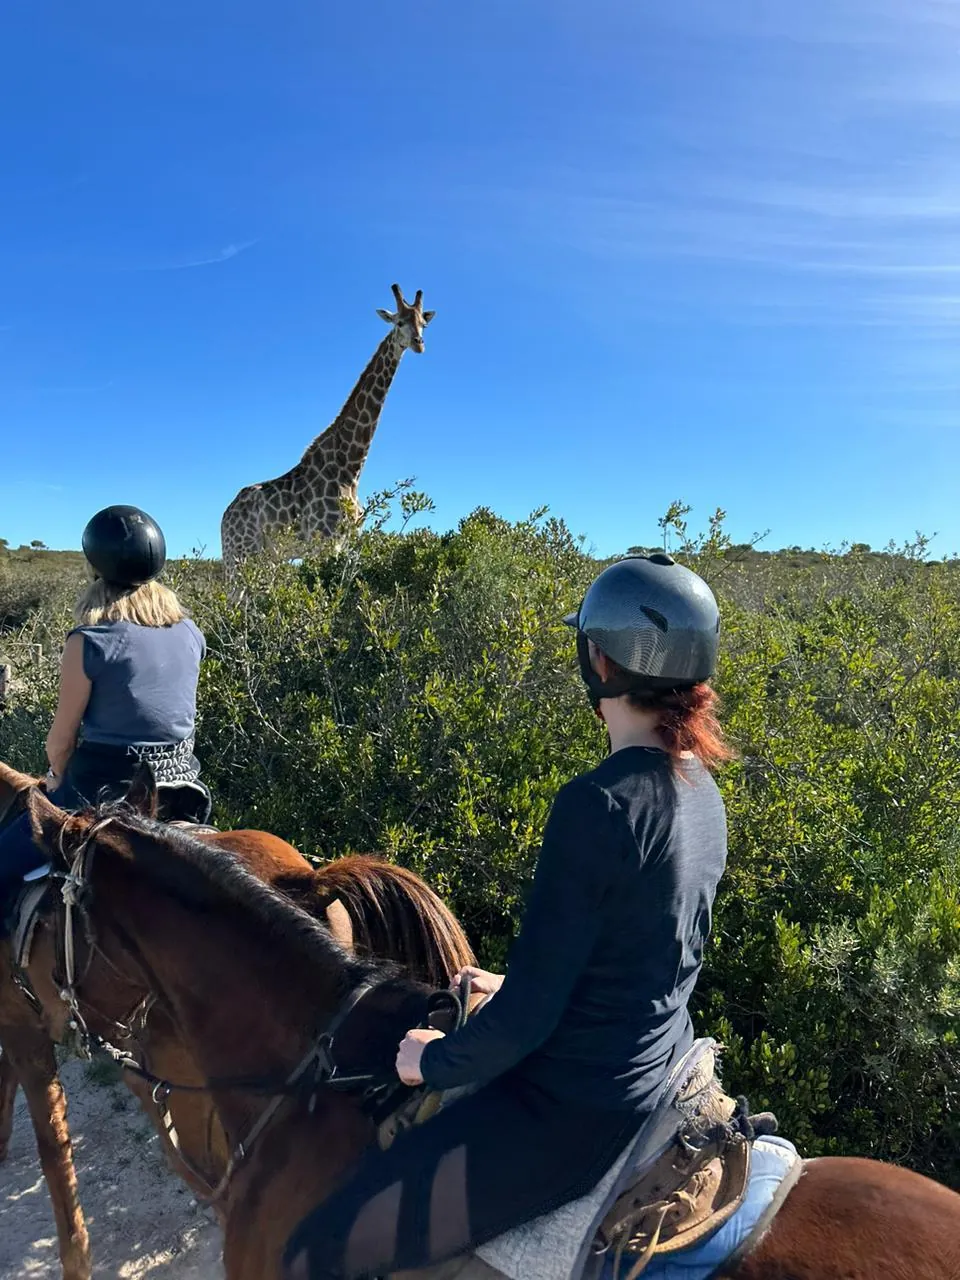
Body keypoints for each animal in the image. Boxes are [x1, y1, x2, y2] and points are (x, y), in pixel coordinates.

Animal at [220, 283, 435, 576]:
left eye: (423, 323)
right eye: (399, 322)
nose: (418, 344)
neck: (350, 467)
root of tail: (224, 518)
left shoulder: (344, 541)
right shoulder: (323, 540)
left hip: (263, 557)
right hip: (240, 554)